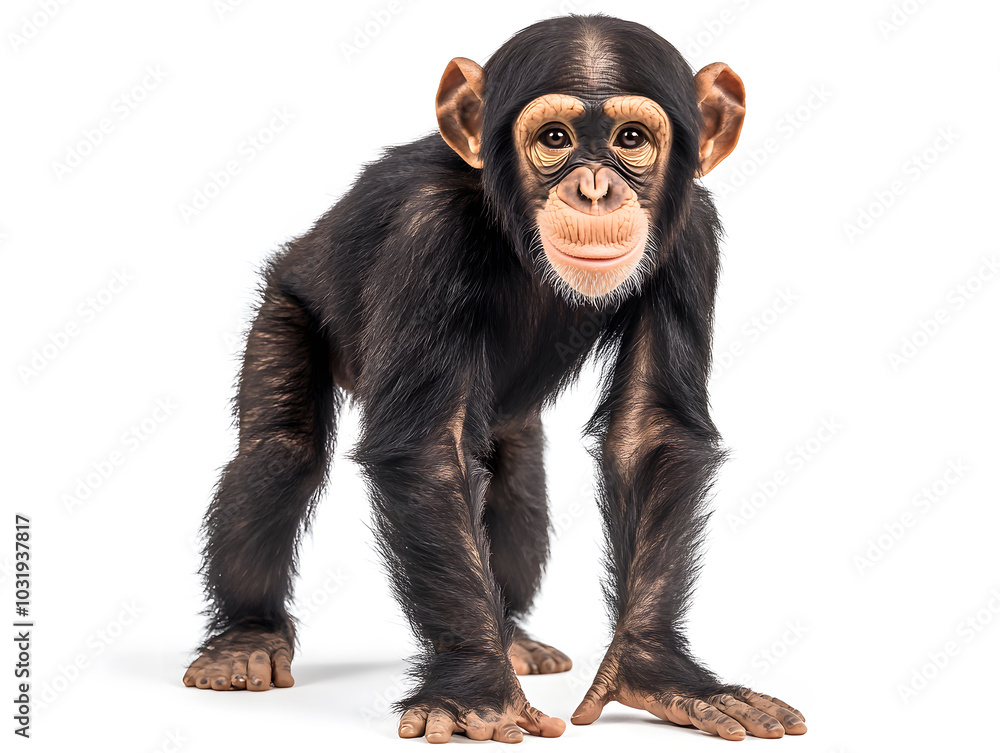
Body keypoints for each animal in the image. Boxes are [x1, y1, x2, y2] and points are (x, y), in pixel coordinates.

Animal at [183, 14, 807, 745]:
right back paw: (245, 640)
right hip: (288, 301)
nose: (595, 189)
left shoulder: (692, 241)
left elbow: (649, 432)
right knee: (280, 457)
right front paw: (473, 688)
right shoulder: (426, 235)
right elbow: (429, 450)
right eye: (555, 139)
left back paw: (512, 636)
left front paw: (656, 669)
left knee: (516, 487)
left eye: (630, 139)